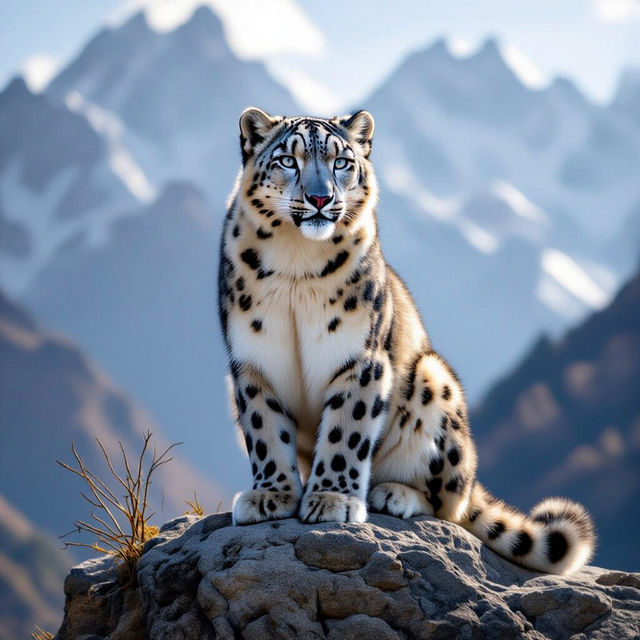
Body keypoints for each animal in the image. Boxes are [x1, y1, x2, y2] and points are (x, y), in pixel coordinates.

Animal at [217, 107, 595, 574]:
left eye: (341, 162)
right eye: (289, 160)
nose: (321, 198)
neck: (295, 264)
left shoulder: (361, 359)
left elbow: (346, 431)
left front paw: (332, 498)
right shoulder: (252, 362)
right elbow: (265, 431)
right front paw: (272, 495)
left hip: (435, 380)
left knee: (448, 503)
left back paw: (394, 493)